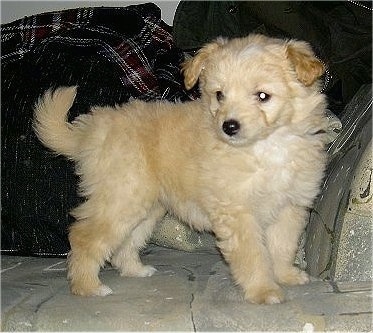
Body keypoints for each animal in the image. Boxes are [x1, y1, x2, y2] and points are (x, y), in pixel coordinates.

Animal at [33, 33, 326, 304]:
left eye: (263, 96)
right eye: (219, 95)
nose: (228, 127)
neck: (266, 147)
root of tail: (91, 131)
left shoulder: (289, 207)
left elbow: (281, 247)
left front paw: (284, 276)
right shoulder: (237, 212)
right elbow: (253, 256)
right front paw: (263, 291)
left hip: (144, 207)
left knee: (124, 243)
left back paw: (135, 270)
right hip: (120, 198)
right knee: (84, 237)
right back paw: (88, 287)